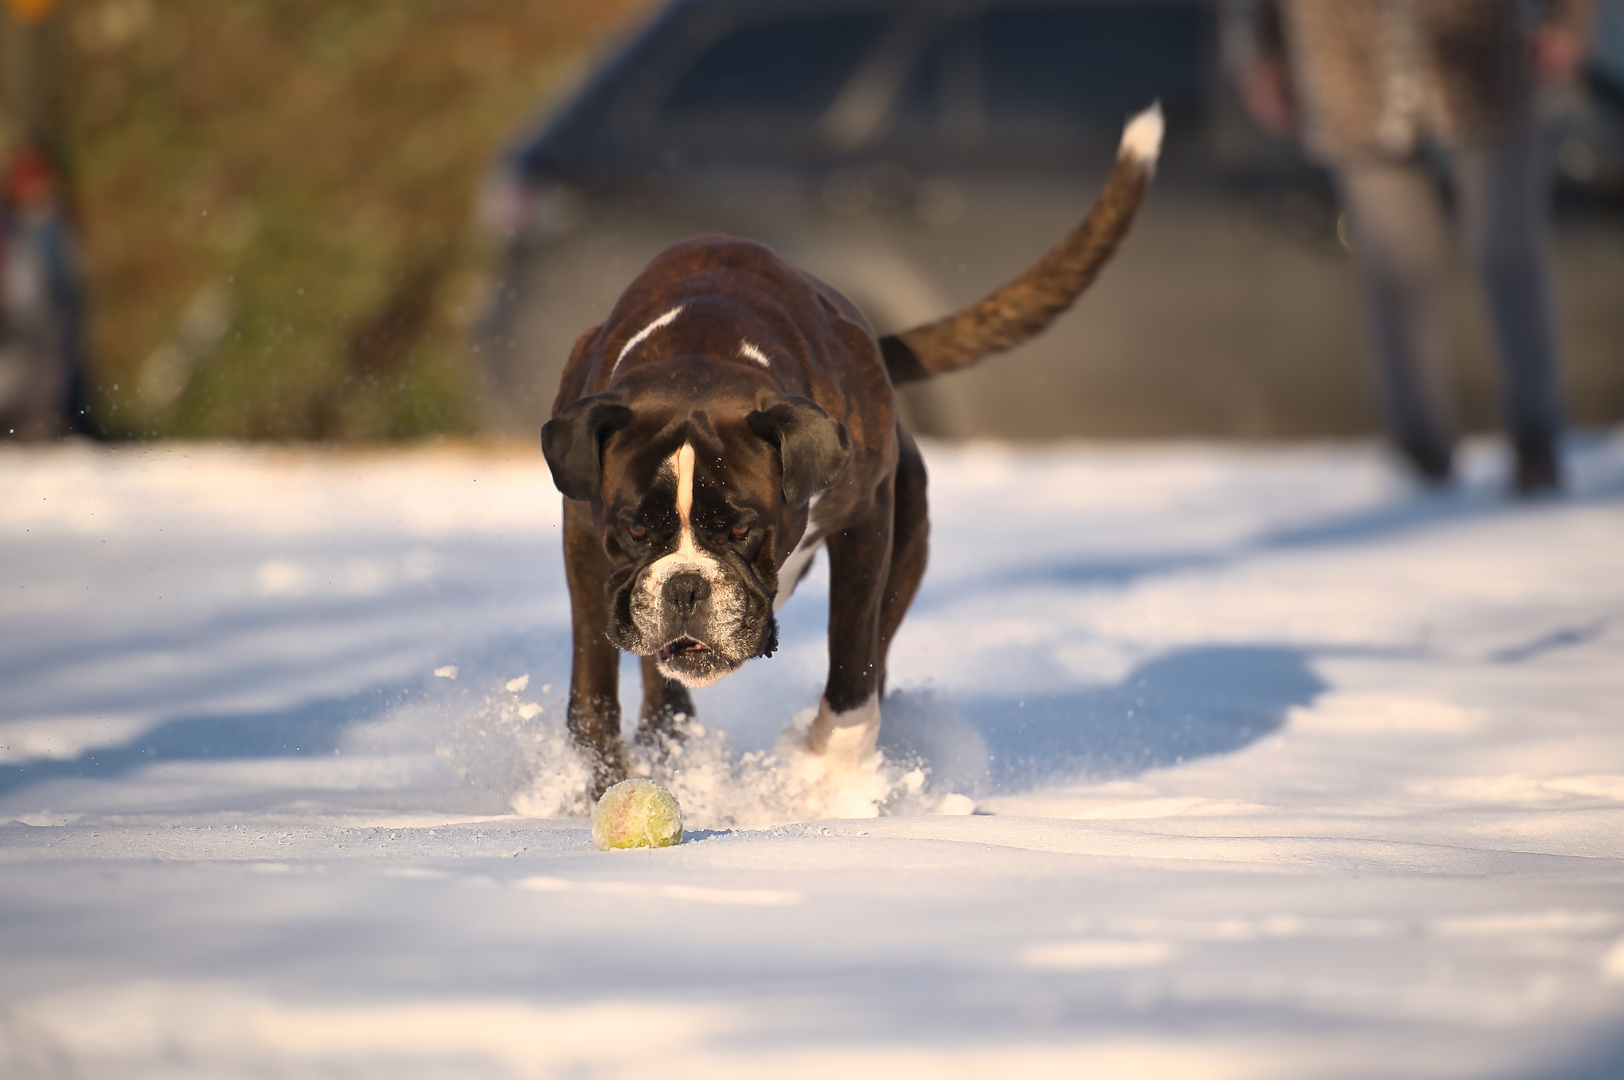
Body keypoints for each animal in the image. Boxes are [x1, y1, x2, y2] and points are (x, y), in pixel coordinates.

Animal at [545, 103, 1169, 792]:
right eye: (635, 531)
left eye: (740, 531)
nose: (686, 587)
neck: (701, 354)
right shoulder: (585, 539)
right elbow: (593, 686)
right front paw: (604, 784)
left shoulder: (867, 523)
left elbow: (852, 660)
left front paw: (828, 770)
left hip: (907, 538)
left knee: (877, 653)